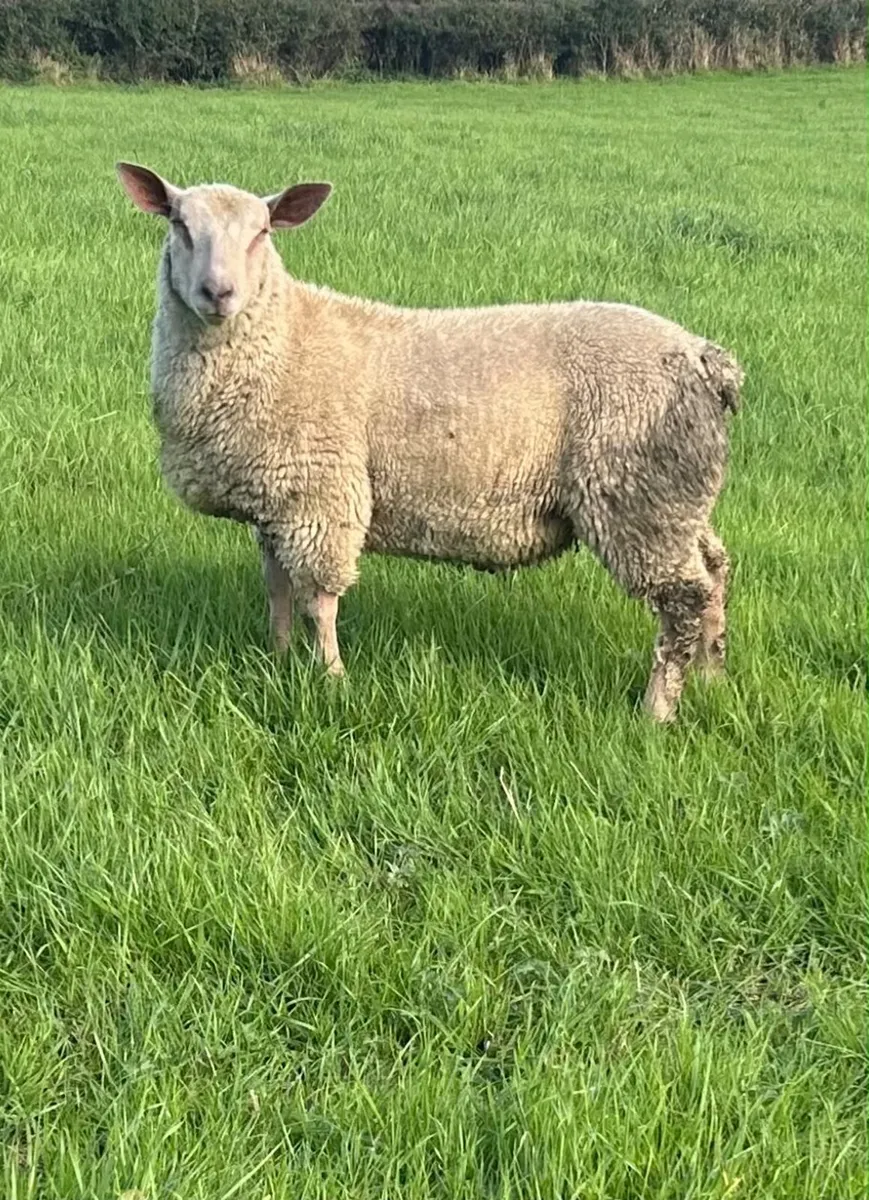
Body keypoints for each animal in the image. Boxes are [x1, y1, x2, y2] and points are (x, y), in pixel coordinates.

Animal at [116, 162, 742, 721]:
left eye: (262, 232)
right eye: (179, 224)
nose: (217, 292)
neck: (283, 340)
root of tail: (706, 359)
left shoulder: (322, 498)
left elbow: (319, 600)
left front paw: (332, 680)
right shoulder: (276, 504)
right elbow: (277, 591)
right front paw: (277, 656)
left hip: (636, 498)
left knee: (684, 600)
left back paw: (656, 711)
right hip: (678, 497)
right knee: (715, 572)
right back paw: (712, 677)